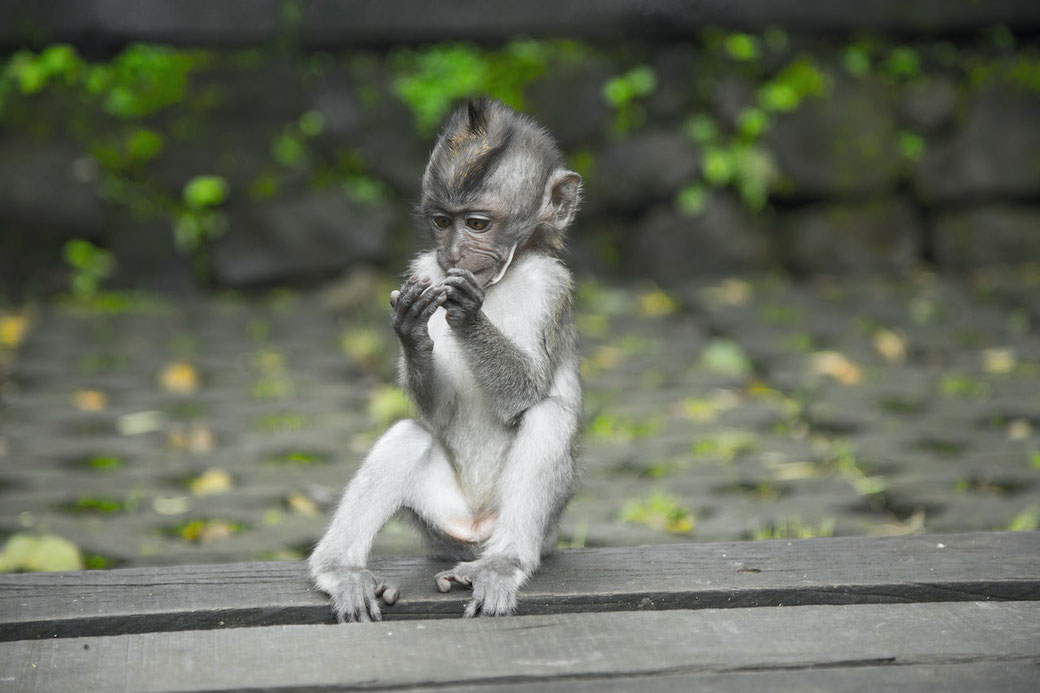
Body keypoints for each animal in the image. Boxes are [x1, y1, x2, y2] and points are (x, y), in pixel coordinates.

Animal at [307, 98, 586, 620]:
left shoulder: (552, 286)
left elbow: (528, 392)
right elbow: (434, 411)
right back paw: (342, 571)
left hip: (544, 528)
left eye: (476, 224)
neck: (502, 279)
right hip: (438, 522)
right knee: (408, 435)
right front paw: (412, 331)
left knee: (548, 418)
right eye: (441, 221)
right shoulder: (424, 269)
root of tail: (474, 529)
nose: (453, 253)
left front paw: (469, 315)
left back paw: (501, 564)